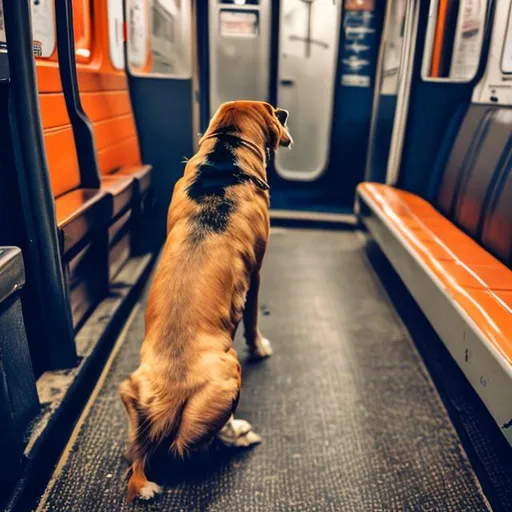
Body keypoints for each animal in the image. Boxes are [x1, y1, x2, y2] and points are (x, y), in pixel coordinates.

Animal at [117, 100, 290, 500]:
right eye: (275, 112)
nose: (284, 113)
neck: (224, 160)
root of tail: (168, 396)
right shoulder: (257, 273)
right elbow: (254, 322)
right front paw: (260, 346)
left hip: (129, 391)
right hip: (230, 377)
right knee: (210, 438)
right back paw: (240, 433)